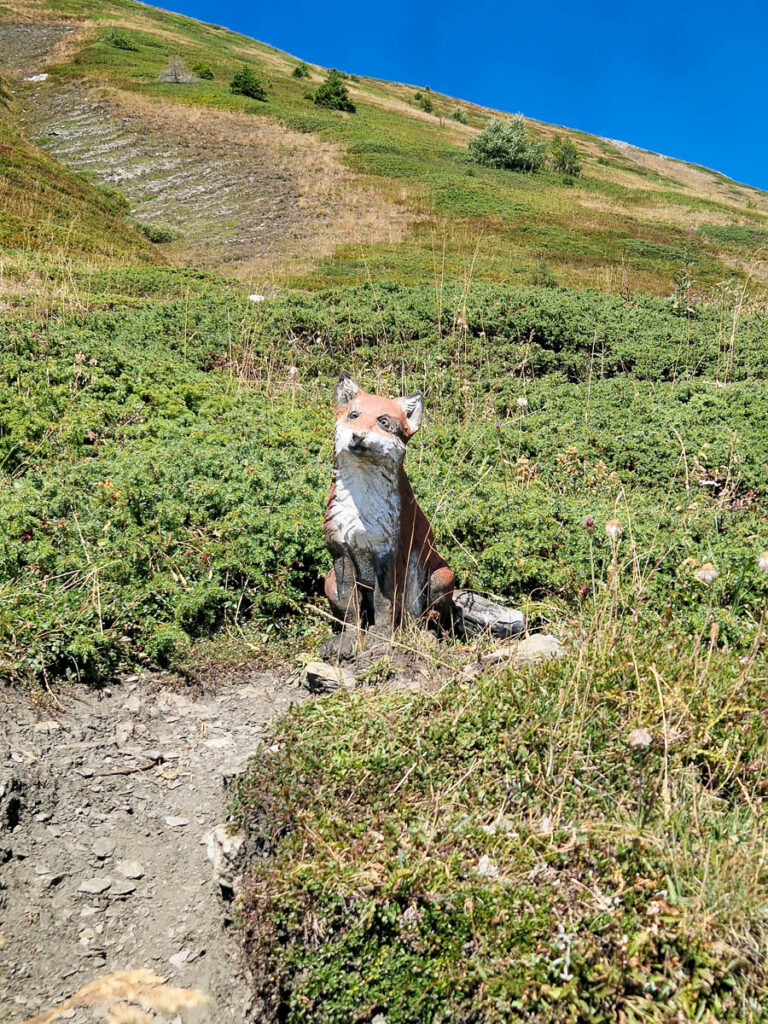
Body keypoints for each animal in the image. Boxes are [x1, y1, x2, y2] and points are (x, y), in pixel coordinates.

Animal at [322, 371, 455, 659]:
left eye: (383, 422)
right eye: (354, 415)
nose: (358, 436)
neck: (361, 509)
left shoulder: (387, 551)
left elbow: (384, 607)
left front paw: (381, 641)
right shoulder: (341, 550)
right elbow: (351, 611)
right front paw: (349, 642)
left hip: (440, 578)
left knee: (427, 619)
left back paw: (422, 637)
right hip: (328, 582)